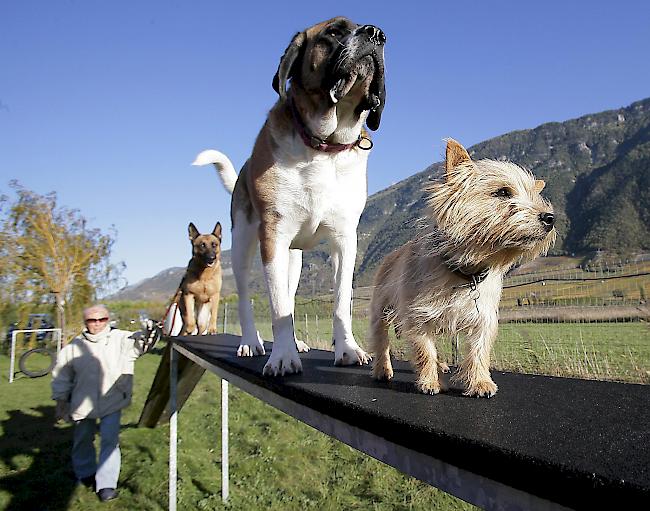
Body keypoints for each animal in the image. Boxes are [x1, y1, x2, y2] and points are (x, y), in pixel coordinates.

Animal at [192, 17, 384, 376]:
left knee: (291, 298)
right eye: (334, 32)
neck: (323, 146)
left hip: (293, 260)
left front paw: (348, 349)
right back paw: (250, 342)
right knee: (246, 298)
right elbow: (277, 306)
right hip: (244, 245)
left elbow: (340, 301)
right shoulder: (273, 238)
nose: (376, 34)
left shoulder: (344, 240)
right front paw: (282, 356)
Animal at [368, 138, 556, 398]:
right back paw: (382, 368)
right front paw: (430, 382)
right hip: (381, 311)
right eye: (503, 192)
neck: (466, 271)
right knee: (381, 340)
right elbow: (425, 351)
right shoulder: (418, 317)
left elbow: (478, 352)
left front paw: (480, 382)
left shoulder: (483, 319)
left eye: (534, 195)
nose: (550, 218)